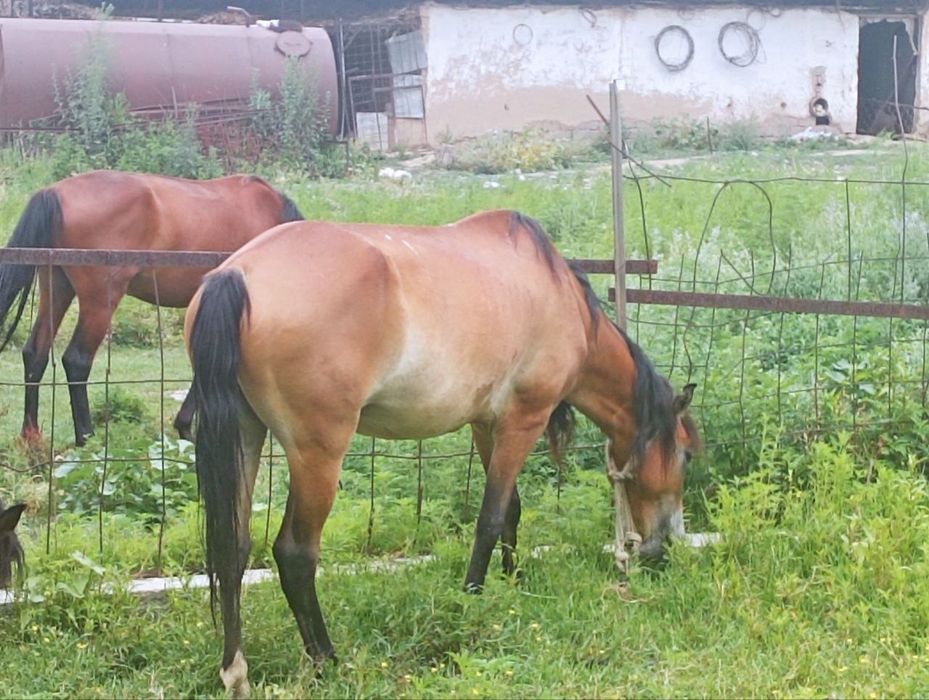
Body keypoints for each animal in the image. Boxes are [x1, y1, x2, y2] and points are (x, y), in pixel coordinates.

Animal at [0, 170, 304, 446]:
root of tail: (55, 192)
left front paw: (184, 427)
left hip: (57, 288)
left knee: (36, 354)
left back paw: (31, 437)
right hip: (99, 302)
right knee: (76, 360)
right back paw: (87, 438)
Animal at [185, 210, 701, 696]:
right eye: (686, 456)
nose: (665, 546)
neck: (559, 298)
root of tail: (238, 275)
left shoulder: (485, 425)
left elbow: (511, 510)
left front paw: (513, 581)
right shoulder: (523, 421)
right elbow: (491, 517)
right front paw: (472, 599)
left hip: (245, 436)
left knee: (232, 546)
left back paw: (236, 671)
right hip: (319, 454)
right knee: (294, 553)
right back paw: (326, 659)